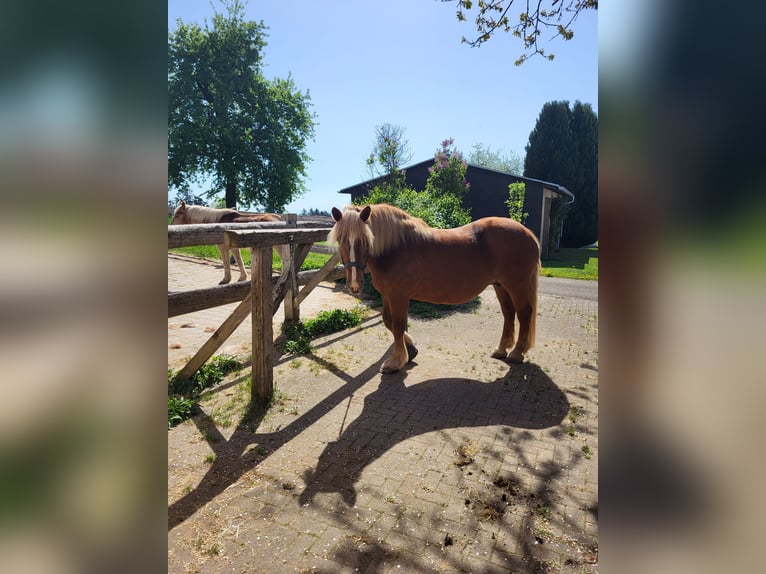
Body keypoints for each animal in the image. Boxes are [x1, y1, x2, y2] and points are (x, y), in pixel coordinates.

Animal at [327, 204, 540, 373]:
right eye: (341, 240)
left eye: (364, 239)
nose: (354, 285)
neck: (395, 247)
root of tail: (529, 235)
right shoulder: (388, 295)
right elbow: (389, 322)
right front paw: (411, 349)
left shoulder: (398, 296)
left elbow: (398, 325)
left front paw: (396, 361)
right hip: (501, 286)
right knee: (509, 313)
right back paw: (502, 349)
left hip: (517, 286)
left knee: (524, 313)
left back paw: (517, 353)